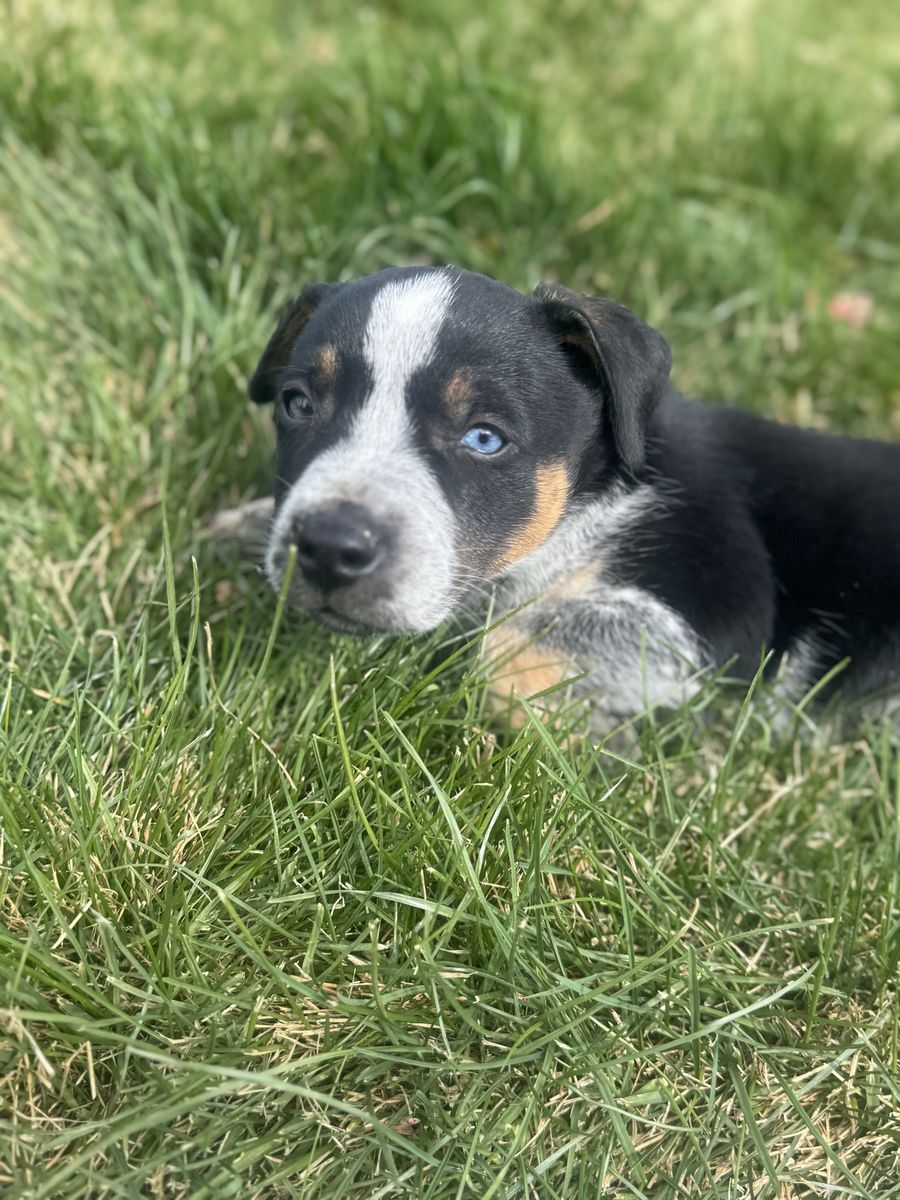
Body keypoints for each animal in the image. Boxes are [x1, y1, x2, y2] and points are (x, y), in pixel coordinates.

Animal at [209, 266, 900, 728]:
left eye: (484, 438)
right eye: (298, 405)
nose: (327, 546)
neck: (589, 503)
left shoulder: (726, 606)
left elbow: (502, 642)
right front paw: (233, 536)